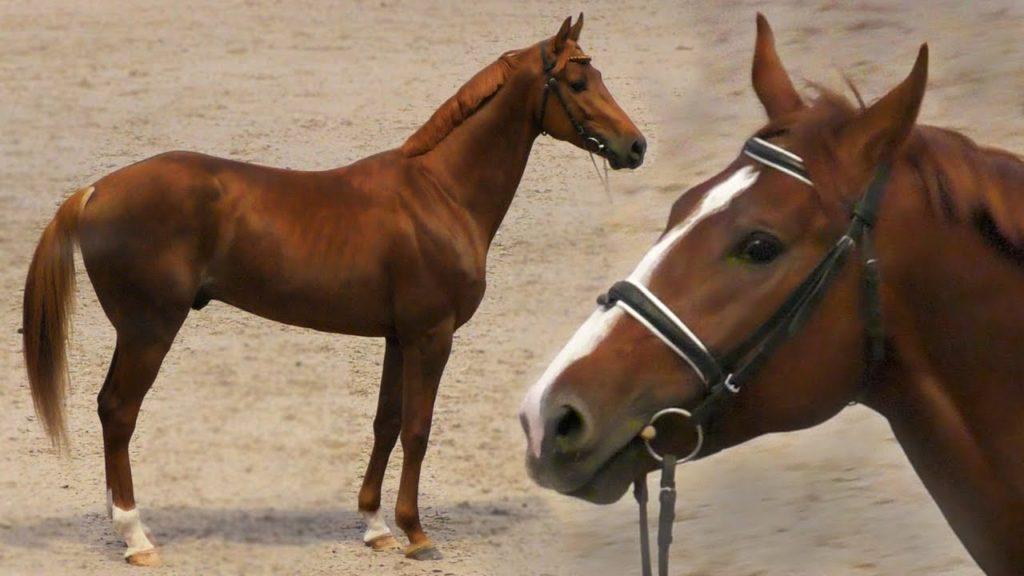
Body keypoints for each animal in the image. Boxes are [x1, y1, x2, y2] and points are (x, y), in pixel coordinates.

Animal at [23, 13, 645, 566]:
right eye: (578, 82)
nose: (636, 146)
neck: (440, 193)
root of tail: (96, 190)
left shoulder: (398, 337)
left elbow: (386, 424)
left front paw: (375, 527)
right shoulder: (432, 335)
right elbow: (418, 429)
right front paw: (416, 533)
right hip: (148, 330)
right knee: (118, 411)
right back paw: (136, 537)